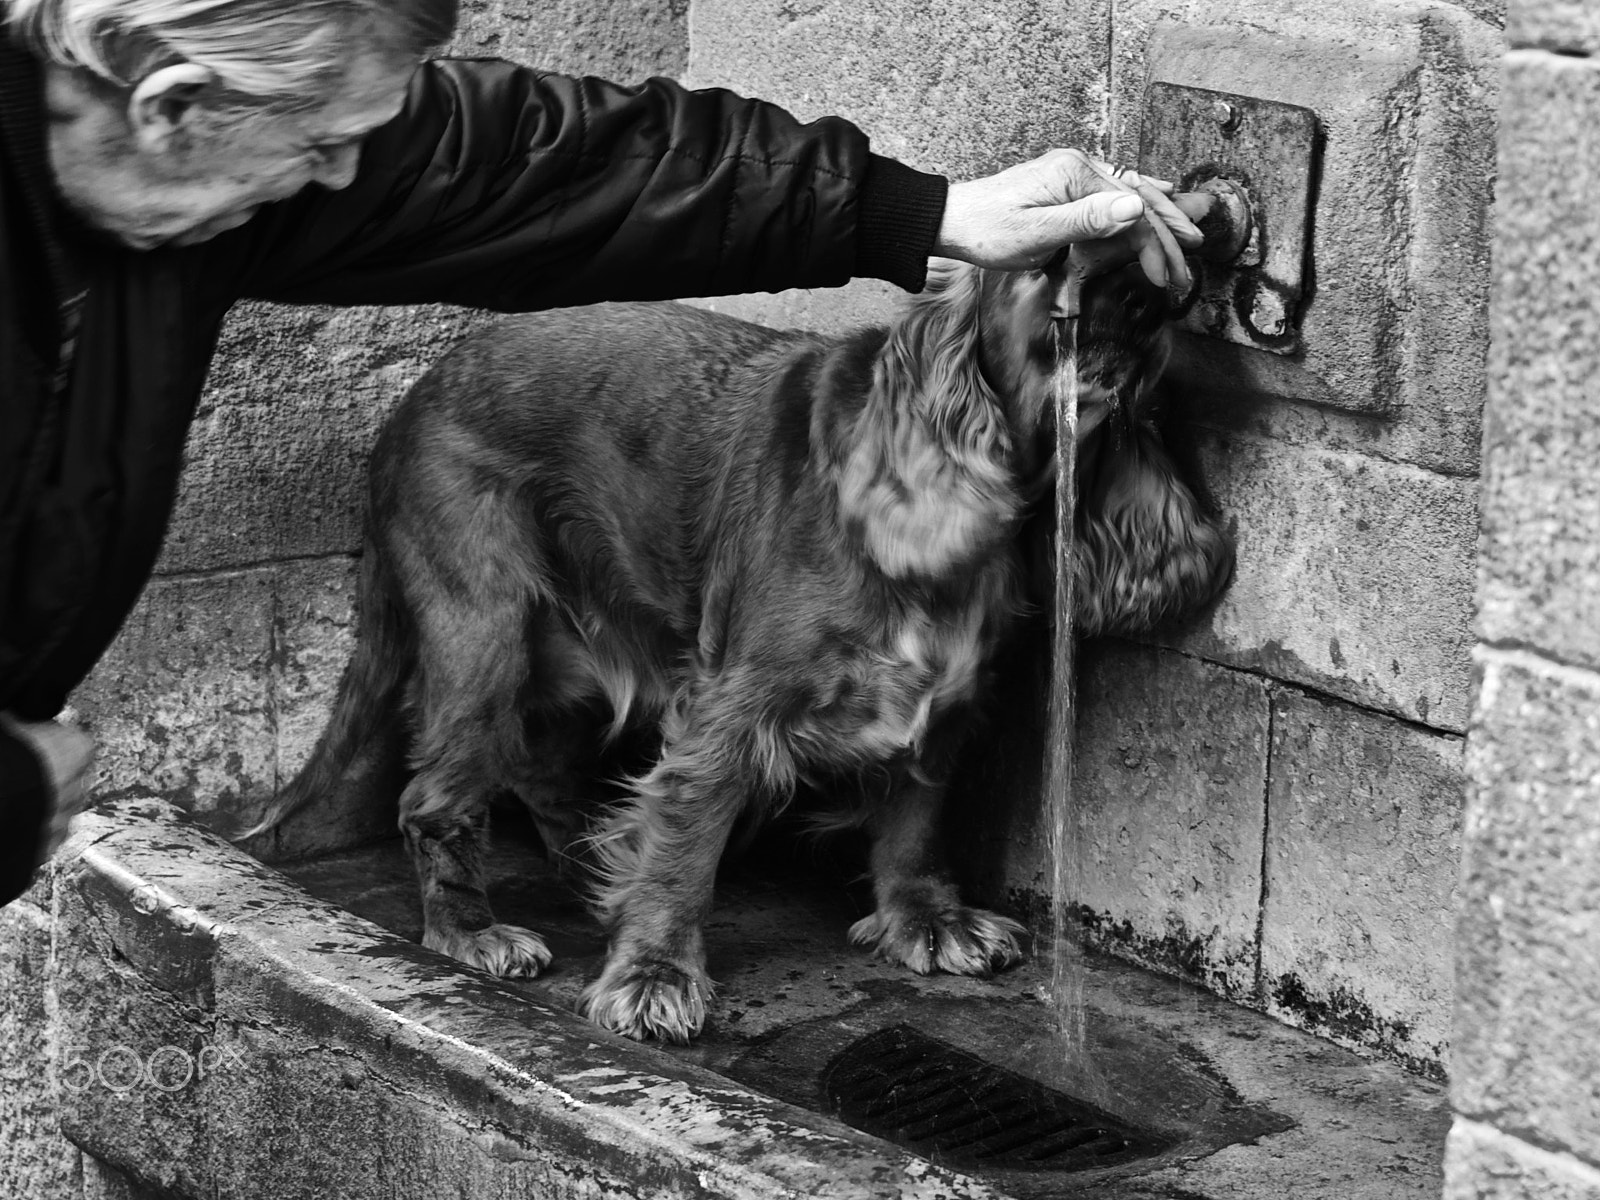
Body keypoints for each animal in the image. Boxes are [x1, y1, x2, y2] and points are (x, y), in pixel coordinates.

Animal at [246, 260, 1222, 1043]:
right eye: (1060, 257)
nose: (1159, 300)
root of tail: (412, 399)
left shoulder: (941, 709)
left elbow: (914, 821)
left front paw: (925, 920)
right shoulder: (729, 712)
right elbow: (686, 848)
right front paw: (654, 976)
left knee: (539, 767)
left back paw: (590, 860)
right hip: (485, 627)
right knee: (432, 798)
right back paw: (469, 931)